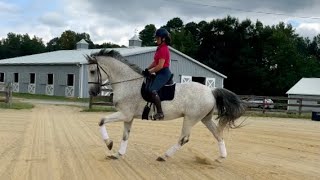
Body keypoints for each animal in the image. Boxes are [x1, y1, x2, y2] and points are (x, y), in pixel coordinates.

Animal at [85, 49, 245, 162]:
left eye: (92, 71)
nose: (92, 92)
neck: (128, 83)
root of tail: (211, 91)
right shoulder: (128, 117)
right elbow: (125, 135)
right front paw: (118, 154)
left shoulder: (125, 114)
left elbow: (101, 121)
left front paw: (109, 144)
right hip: (205, 118)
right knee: (217, 133)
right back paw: (221, 157)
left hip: (190, 118)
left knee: (184, 138)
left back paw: (164, 156)